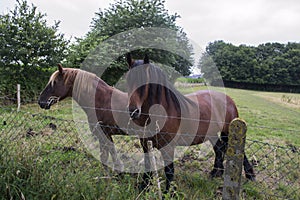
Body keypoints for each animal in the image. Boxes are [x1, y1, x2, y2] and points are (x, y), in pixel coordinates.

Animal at [125, 54, 254, 191]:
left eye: (145, 82)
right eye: (128, 79)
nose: (133, 111)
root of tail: (229, 100)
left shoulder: (168, 147)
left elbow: (169, 171)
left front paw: (168, 192)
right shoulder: (145, 144)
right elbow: (148, 165)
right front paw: (143, 187)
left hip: (229, 132)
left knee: (239, 152)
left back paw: (250, 175)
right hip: (211, 133)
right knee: (219, 149)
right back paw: (215, 173)